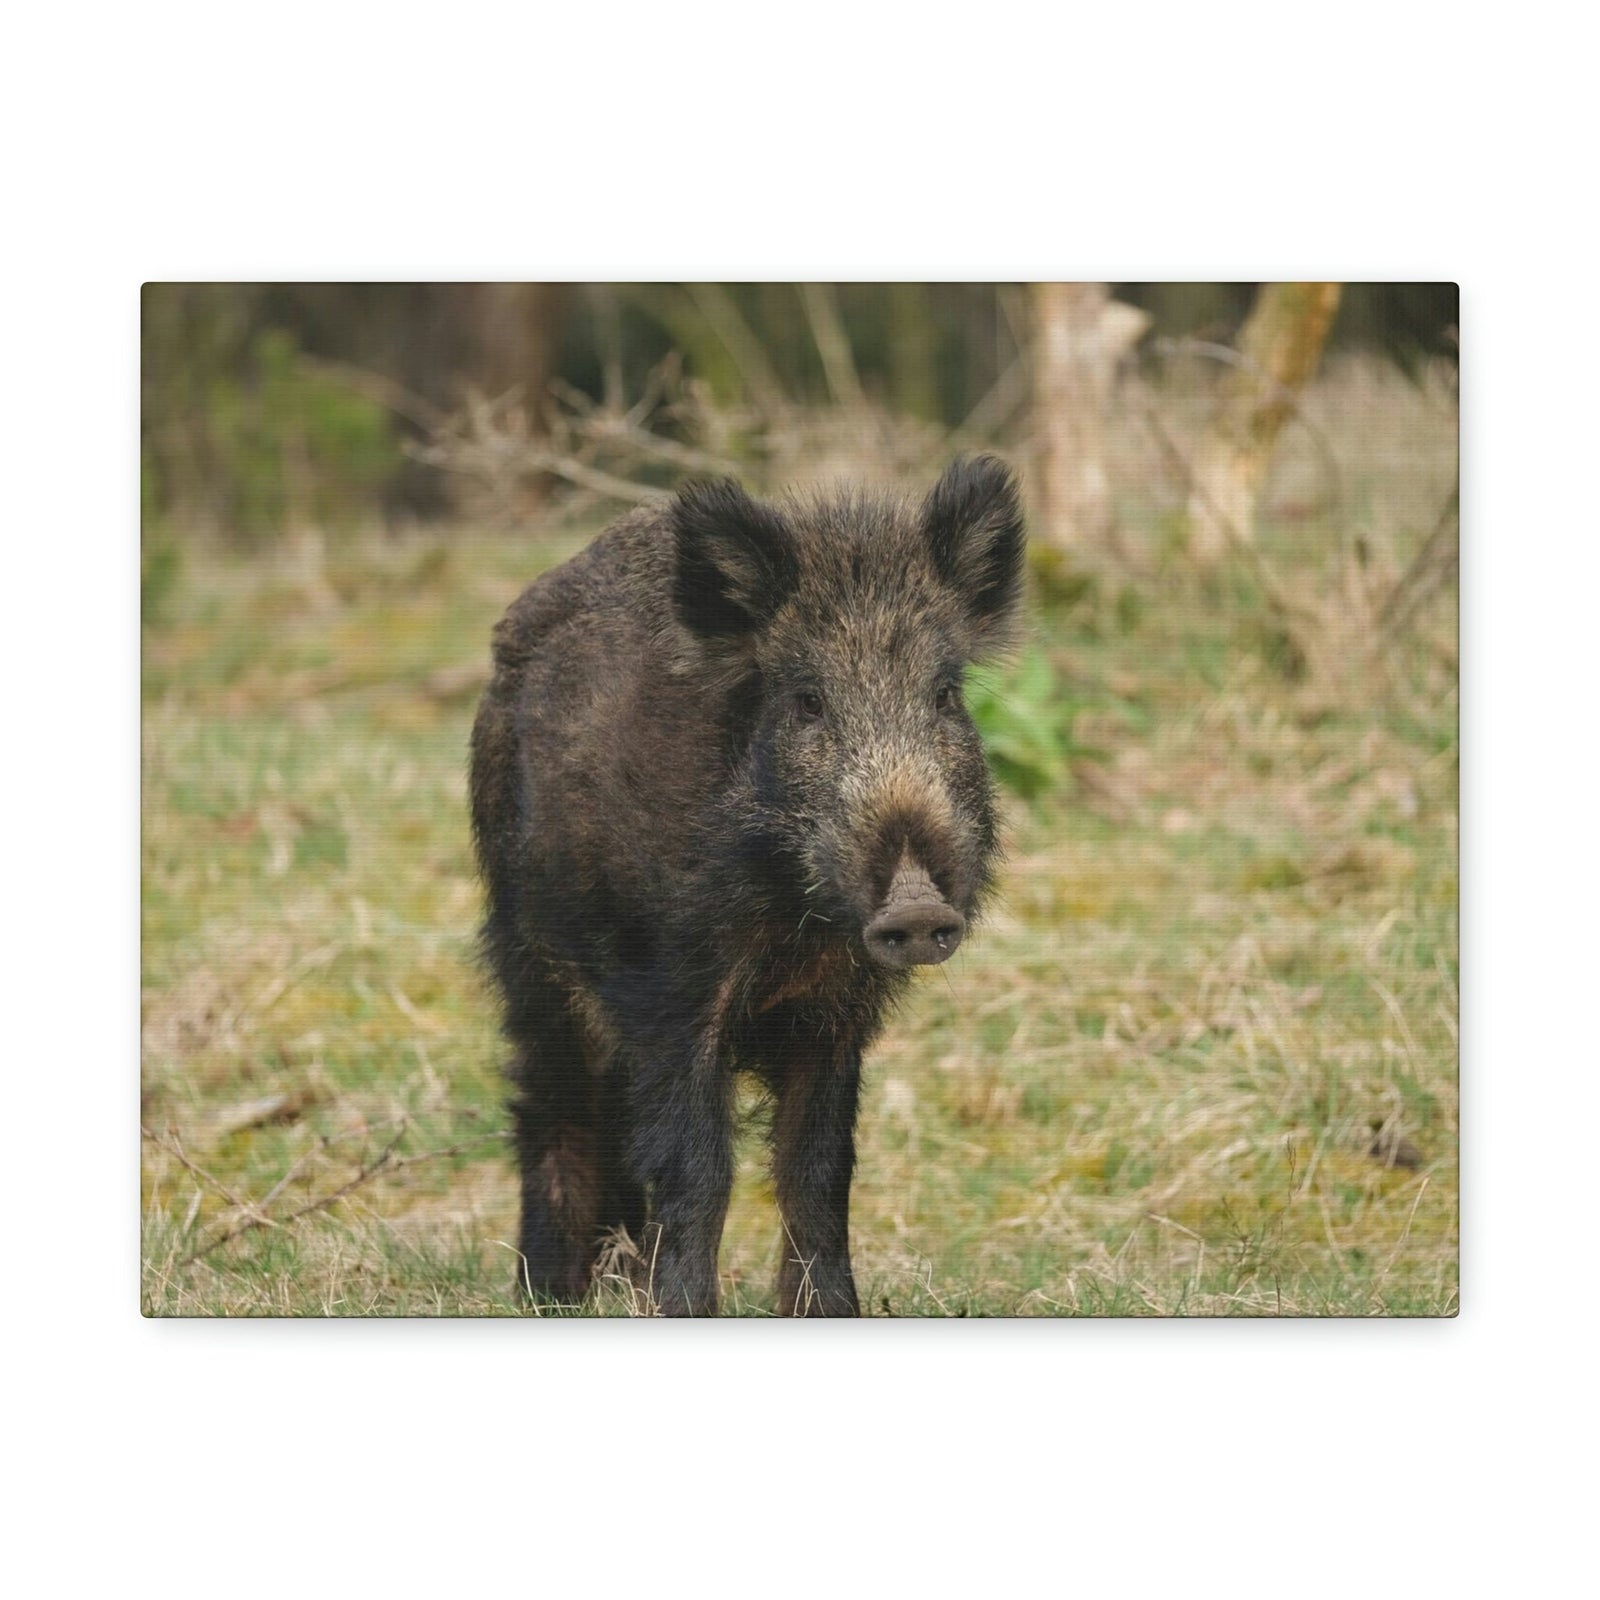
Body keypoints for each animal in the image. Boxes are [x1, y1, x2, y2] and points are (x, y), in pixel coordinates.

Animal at [469, 456, 1025, 1314]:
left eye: (945, 696)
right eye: (807, 701)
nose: (917, 905)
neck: (795, 922)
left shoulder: (837, 1011)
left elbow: (820, 1171)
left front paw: (831, 1313)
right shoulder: (670, 992)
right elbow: (700, 1169)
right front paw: (685, 1310)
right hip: (526, 947)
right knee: (552, 1098)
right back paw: (549, 1292)